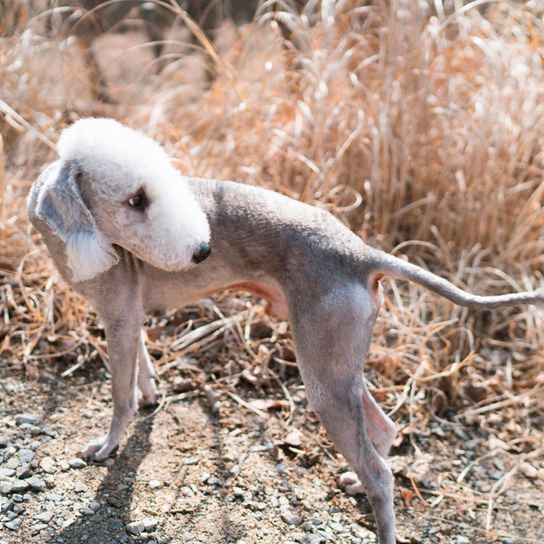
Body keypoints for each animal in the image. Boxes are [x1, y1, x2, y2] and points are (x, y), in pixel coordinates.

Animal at [26, 117, 544, 540]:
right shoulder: (130, 316)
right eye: (135, 199)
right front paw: (152, 395)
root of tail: (360, 253)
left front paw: (108, 446)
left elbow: (120, 395)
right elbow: (143, 368)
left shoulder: (116, 318)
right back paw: (355, 479)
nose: (201, 251)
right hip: (339, 361)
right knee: (384, 429)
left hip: (322, 371)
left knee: (382, 474)